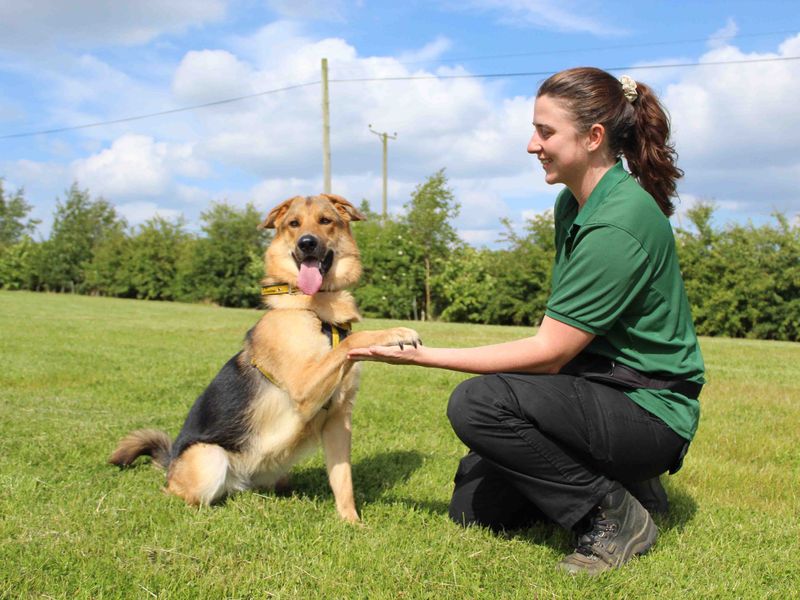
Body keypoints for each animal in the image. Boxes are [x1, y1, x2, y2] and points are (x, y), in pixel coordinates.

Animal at [110, 193, 422, 520]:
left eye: (325, 221)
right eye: (293, 224)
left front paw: (351, 522)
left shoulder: (338, 419)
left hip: (278, 473)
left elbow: (343, 480)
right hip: (210, 460)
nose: (307, 243)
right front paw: (395, 333)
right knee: (176, 492)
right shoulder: (304, 388)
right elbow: (351, 343)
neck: (315, 309)